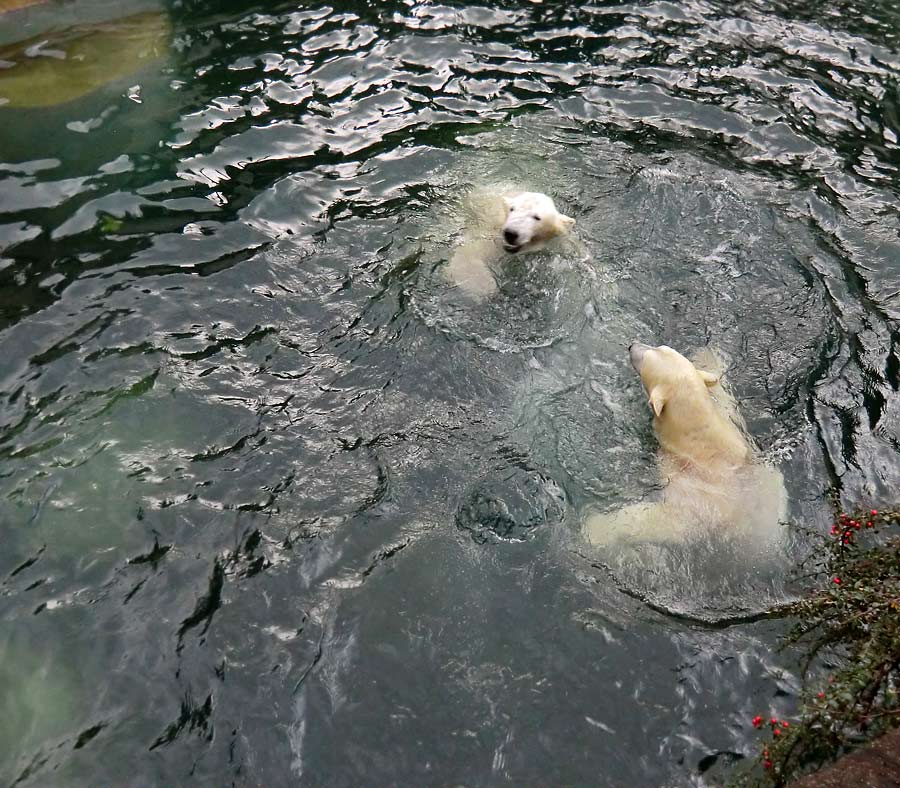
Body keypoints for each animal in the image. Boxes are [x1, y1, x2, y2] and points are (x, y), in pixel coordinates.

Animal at [442, 190, 576, 298]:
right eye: (512, 209)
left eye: (537, 217)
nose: (510, 233)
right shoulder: (491, 236)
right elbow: (469, 253)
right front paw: (485, 286)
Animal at [584, 344, 788, 548]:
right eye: (660, 347)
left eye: (647, 356)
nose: (632, 345)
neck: (700, 444)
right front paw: (708, 357)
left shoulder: (699, 495)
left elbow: (671, 520)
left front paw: (594, 529)